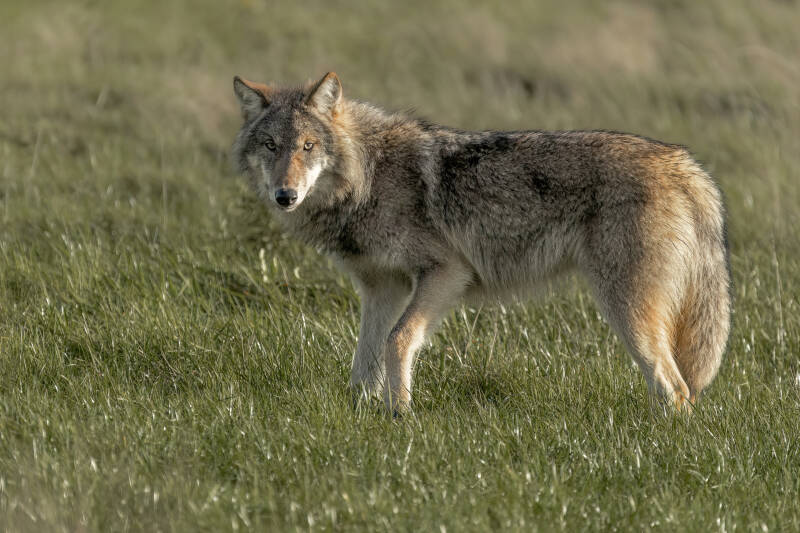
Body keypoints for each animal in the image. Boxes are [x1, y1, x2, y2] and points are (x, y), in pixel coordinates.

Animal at [232, 72, 731, 414]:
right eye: (272, 146)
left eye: (309, 146)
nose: (285, 195)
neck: (367, 177)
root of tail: (683, 162)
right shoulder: (381, 288)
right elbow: (364, 360)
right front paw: (362, 414)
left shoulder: (446, 273)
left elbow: (398, 340)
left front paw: (400, 414)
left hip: (625, 311)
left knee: (676, 387)